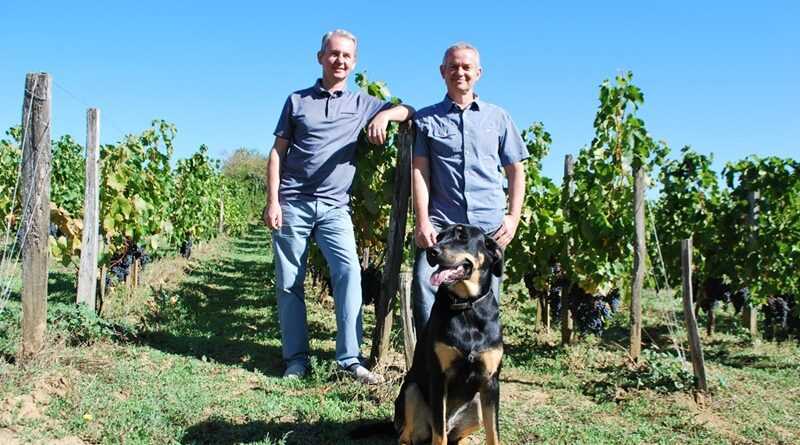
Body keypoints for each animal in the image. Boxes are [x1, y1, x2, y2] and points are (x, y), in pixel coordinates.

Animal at [394, 224, 504, 445]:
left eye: (462, 237)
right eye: (438, 237)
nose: (432, 251)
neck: (466, 306)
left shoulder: (491, 382)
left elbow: (494, 435)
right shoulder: (439, 377)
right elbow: (439, 435)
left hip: (477, 407)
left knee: (456, 437)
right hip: (411, 390)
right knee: (408, 435)